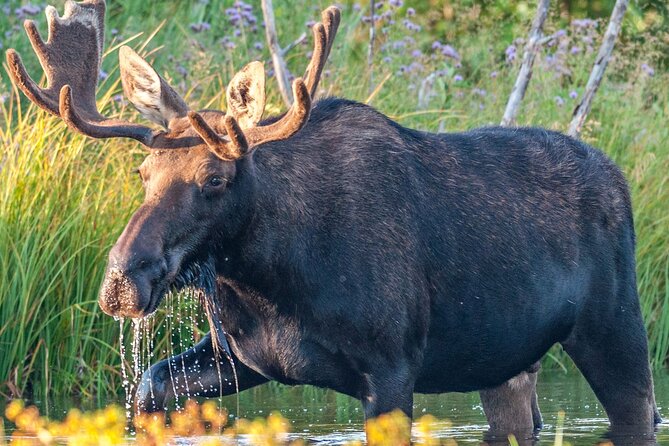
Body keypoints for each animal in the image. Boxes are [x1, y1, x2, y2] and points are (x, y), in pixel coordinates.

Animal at [7, 0, 660, 442]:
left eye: (215, 179)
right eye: (143, 172)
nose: (123, 279)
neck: (272, 275)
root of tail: (620, 177)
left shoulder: (393, 365)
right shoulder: (245, 356)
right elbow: (151, 385)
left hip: (615, 326)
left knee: (641, 412)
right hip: (506, 361)